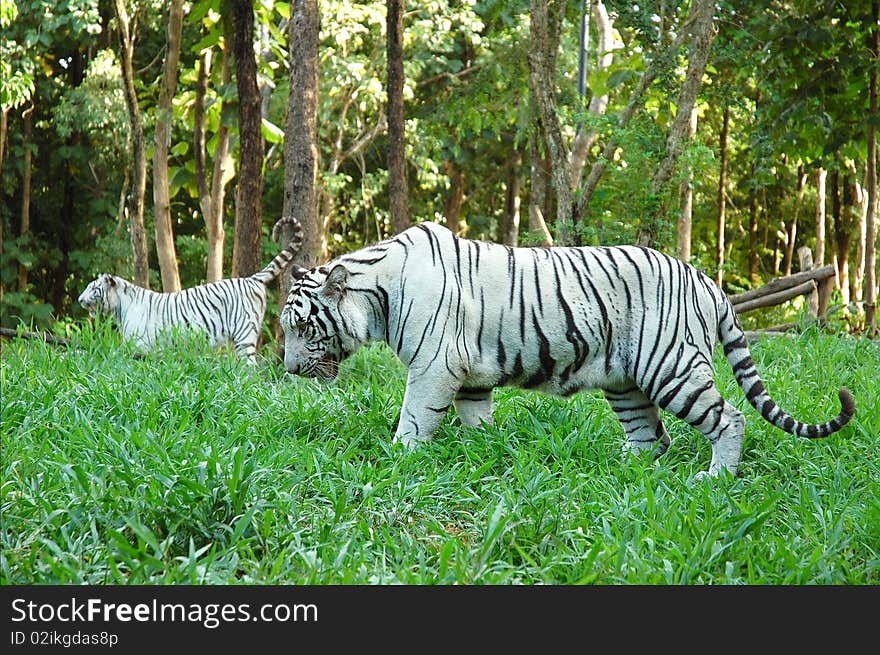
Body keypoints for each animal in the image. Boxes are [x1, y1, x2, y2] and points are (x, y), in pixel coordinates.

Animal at [80, 219, 306, 364]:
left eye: (93, 288)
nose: (79, 299)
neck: (120, 308)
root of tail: (251, 279)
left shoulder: (138, 344)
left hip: (245, 334)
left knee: (250, 367)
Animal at [280, 223, 852, 480]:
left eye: (303, 327)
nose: (286, 368)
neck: (376, 291)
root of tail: (706, 280)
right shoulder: (468, 376)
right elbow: (475, 418)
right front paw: (483, 450)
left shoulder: (433, 368)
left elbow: (414, 418)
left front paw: (398, 457)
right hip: (626, 383)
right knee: (653, 440)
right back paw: (613, 467)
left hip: (672, 369)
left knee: (729, 418)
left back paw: (715, 478)